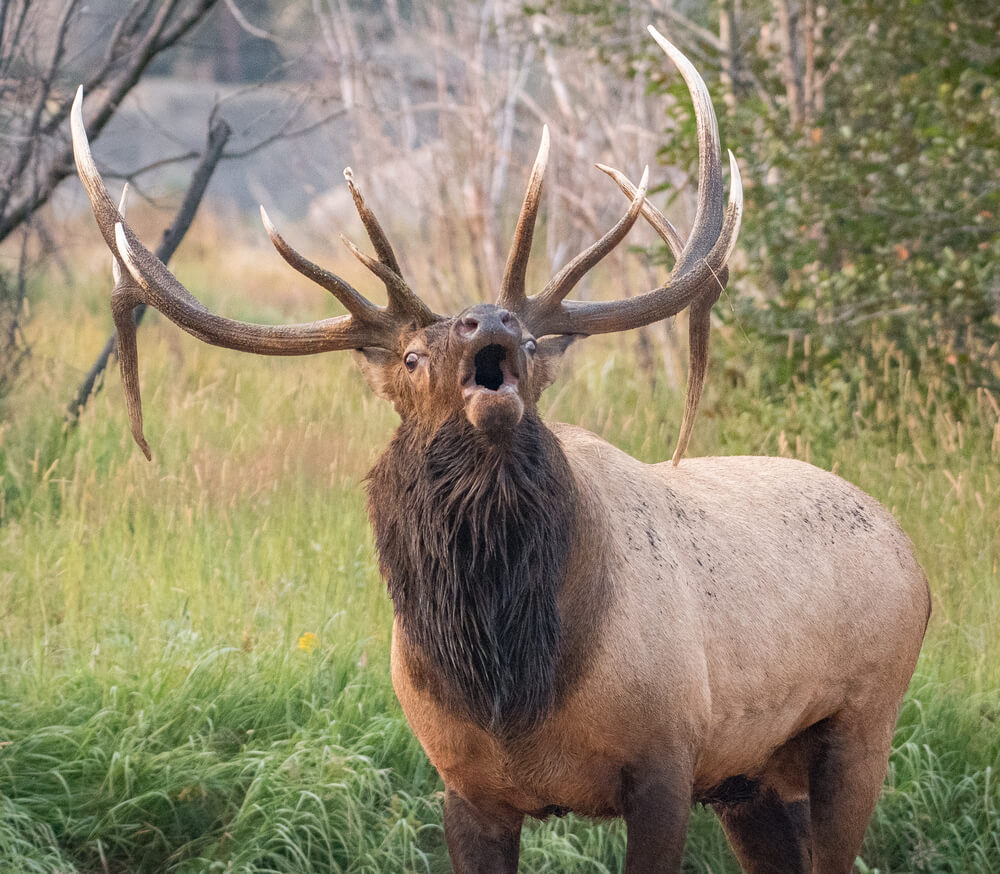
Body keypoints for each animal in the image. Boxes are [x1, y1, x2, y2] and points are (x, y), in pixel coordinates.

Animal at [70, 25, 928, 872]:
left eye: (537, 342)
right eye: (413, 358)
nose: (494, 321)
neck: (514, 692)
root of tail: (915, 560)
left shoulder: (668, 759)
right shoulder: (466, 784)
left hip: (861, 724)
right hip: (755, 773)